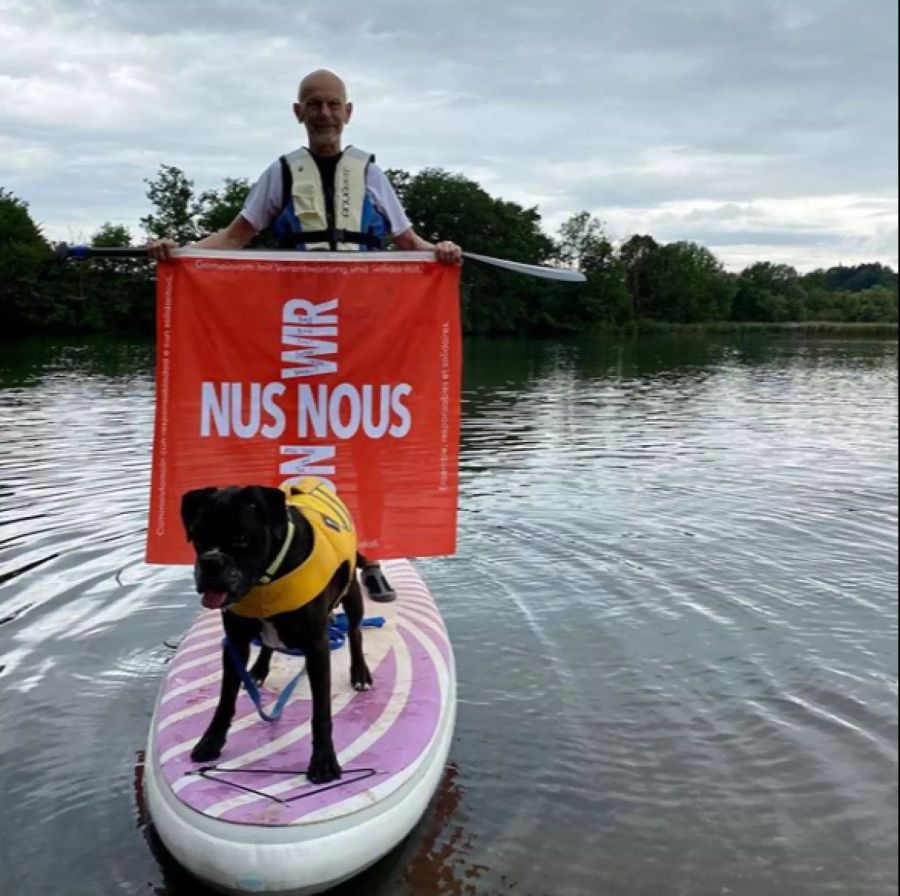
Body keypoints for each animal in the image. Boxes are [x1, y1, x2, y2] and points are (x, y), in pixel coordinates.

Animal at [179, 484, 372, 784]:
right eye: (197, 536)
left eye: (241, 538)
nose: (210, 562)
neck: (266, 579)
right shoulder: (234, 643)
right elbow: (225, 699)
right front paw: (211, 741)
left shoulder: (317, 647)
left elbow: (321, 711)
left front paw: (323, 760)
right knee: (268, 642)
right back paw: (258, 670)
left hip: (350, 595)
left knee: (354, 632)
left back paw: (360, 672)